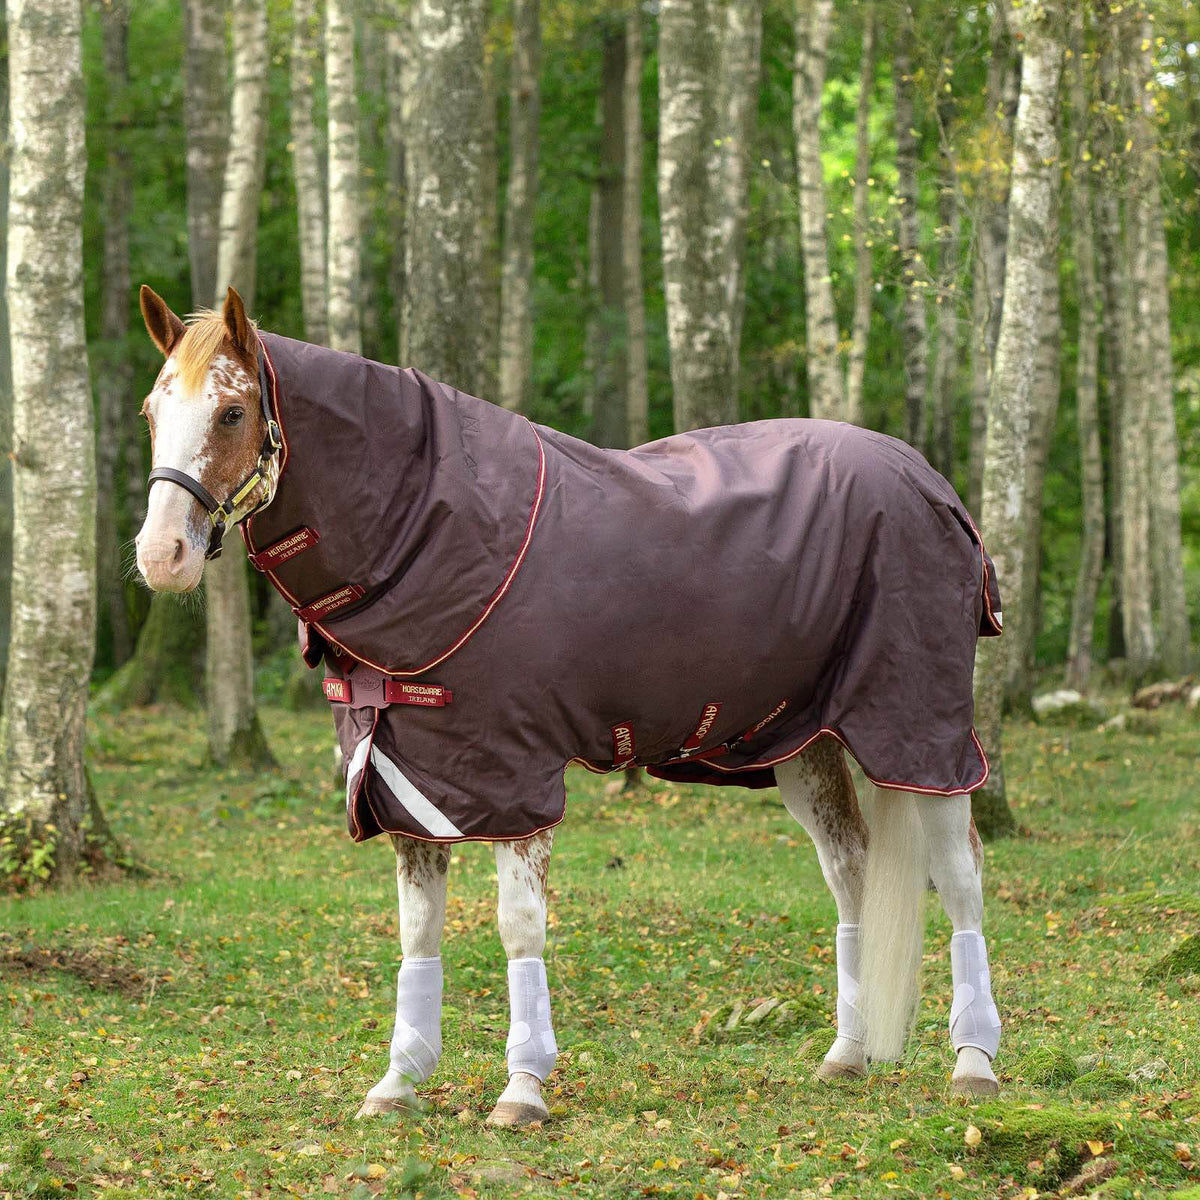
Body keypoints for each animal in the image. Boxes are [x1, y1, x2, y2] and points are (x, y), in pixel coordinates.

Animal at [134, 284, 1004, 1126]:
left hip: (916, 728)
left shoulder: (515, 778)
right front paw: (397, 1083)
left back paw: (974, 1064)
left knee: (961, 875)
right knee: (850, 869)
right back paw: (847, 1055)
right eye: (151, 411)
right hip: (805, 742)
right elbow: (417, 931)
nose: (160, 556)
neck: (430, 540)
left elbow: (520, 926)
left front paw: (522, 1090)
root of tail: (929, 482)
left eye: (232, 411)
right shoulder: (407, 783)